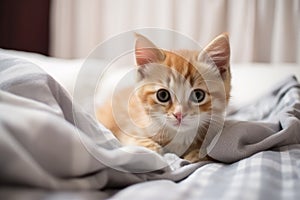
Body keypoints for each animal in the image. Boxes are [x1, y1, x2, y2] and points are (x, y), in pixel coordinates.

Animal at [97, 32, 231, 162]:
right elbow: (132, 138)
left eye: (198, 95)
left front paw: (198, 153)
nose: (179, 114)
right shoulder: (128, 128)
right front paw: (152, 149)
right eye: (162, 95)